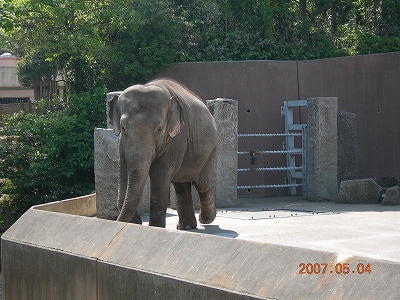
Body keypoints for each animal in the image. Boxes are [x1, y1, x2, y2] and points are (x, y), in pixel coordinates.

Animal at [108, 78, 217, 229]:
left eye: (159, 129)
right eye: (123, 127)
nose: (118, 222)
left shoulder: (177, 138)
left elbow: (159, 175)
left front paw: (155, 227)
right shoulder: (122, 144)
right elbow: (123, 170)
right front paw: (135, 223)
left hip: (210, 151)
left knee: (202, 185)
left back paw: (206, 220)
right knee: (181, 186)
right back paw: (187, 227)